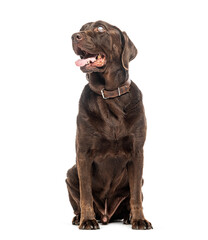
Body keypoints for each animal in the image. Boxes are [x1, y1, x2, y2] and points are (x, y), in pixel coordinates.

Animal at [66, 19, 152, 230]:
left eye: (100, 28)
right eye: (81, 29)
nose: (74, 36)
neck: (110, 95)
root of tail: (107, 215)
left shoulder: (137, 152)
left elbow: (135, 196)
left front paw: (139, 220)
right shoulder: (83, 153)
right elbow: (86, 194)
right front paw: (87, 220)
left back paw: (128, 217)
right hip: (70, 173)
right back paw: (79, 217)